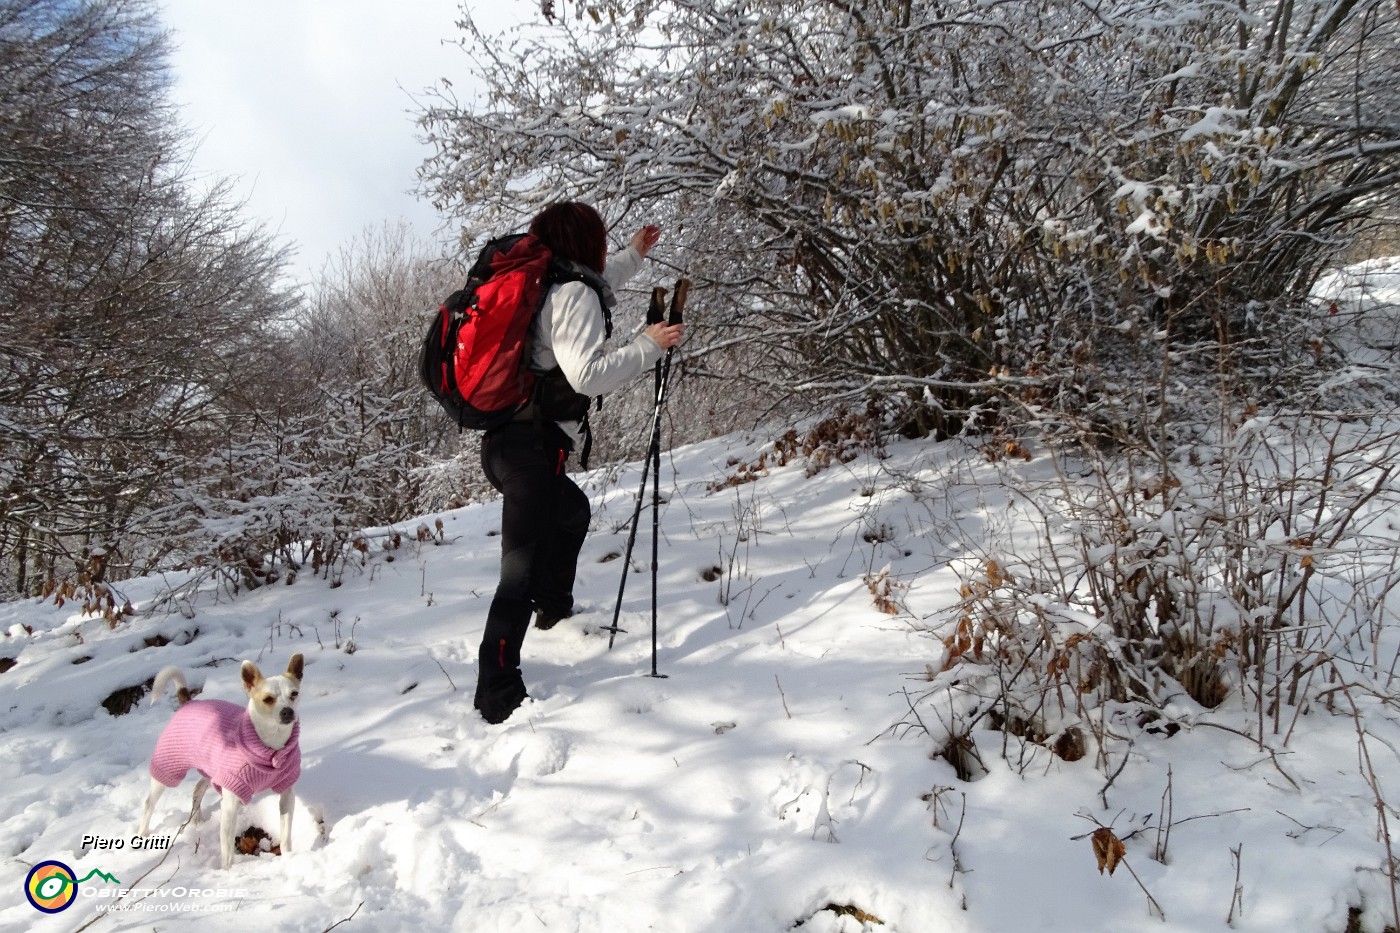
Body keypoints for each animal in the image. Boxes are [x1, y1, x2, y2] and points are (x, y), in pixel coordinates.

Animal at [137, 652, 305, 862]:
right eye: (268, 699)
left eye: (294, 694)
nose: (287, 711)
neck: (270, 743)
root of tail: (188, 702)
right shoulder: (230, 804)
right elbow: (227, 851)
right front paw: (228, 869)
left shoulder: (287, 795)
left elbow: (285, 833)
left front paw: (288, 856)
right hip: (169, 768)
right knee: (148, 803)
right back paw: (142, 834)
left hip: (211, 771)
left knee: (197, 789)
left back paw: (197, 820)